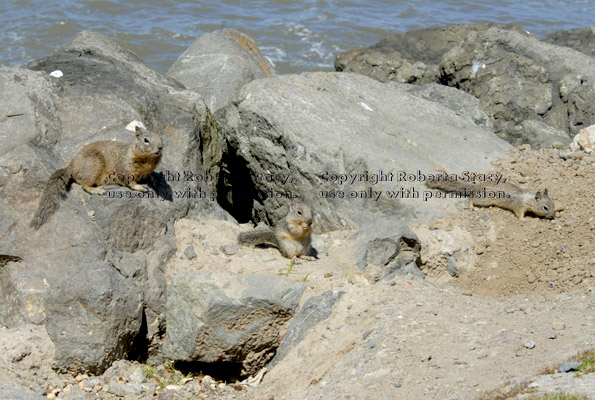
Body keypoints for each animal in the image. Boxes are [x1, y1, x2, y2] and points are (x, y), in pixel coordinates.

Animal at [29, 126, 162, 230]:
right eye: (146, 140)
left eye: (161, 139)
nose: (160, 147)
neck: (148, 160)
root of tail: (71, 166)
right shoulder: (126, 168)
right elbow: (130, 181)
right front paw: (140, 187)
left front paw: (153, 180)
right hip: (94, 165)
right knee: (84, 185)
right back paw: (97, 190)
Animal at [426, 174, 556, 220]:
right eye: (545, 208)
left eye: (553, 205)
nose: (553, 216)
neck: (529, 199)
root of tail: (479, 187)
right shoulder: (519, 206)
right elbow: (519, 214)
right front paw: (524, 220)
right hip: (486, 200)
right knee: (472, 197)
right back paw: (471, 206)